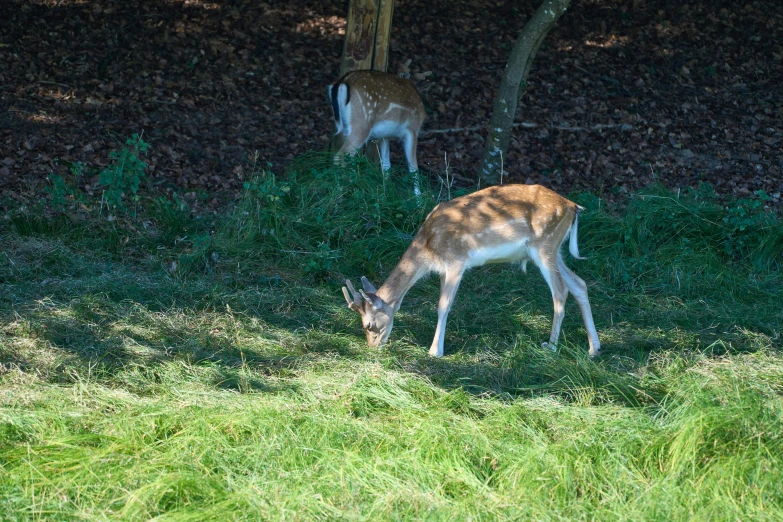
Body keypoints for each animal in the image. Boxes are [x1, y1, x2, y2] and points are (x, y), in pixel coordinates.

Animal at [342, 183, 600, 358]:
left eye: (368, 325)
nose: (372, 347)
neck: (428, 248)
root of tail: (573, 207)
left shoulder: (457, 261)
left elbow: (443, 306)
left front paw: (435, 351)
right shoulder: (444, 269)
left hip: (544, 245)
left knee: (560, 291)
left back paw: (551, 346)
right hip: (554, 250)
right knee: (579, 284)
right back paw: (594, 348)